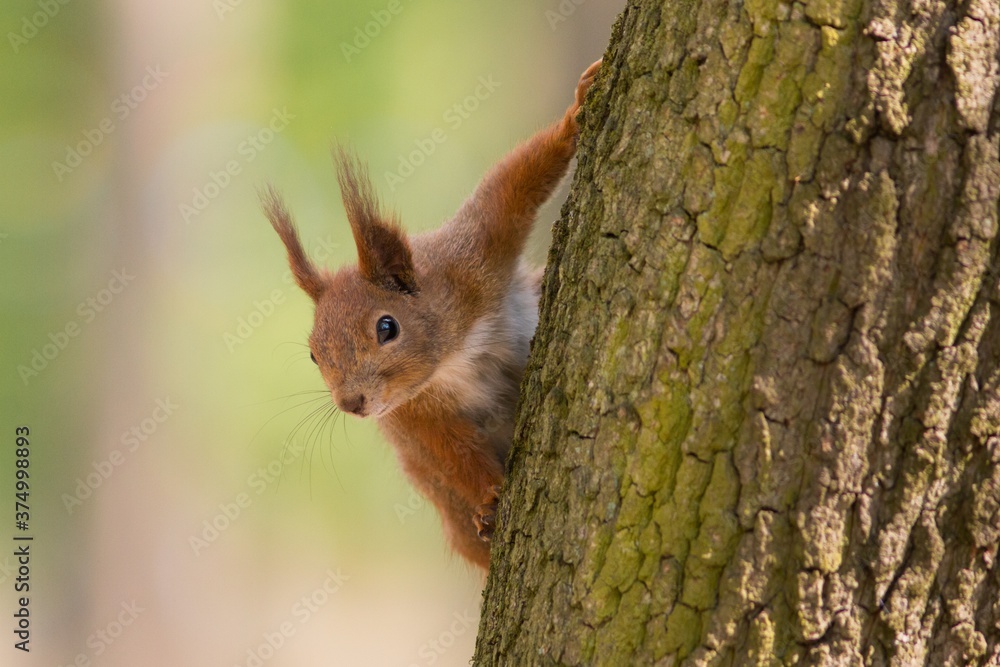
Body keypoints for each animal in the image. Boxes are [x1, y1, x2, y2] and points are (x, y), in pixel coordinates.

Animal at [262, 59, 601, 570]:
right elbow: (452, 456)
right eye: (314, 356)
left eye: (387, 327)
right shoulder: (416, 417)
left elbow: (511, 186)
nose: (351, 403)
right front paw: (491, 498)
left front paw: (575, 114)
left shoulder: (471, 258)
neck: (449, 358)